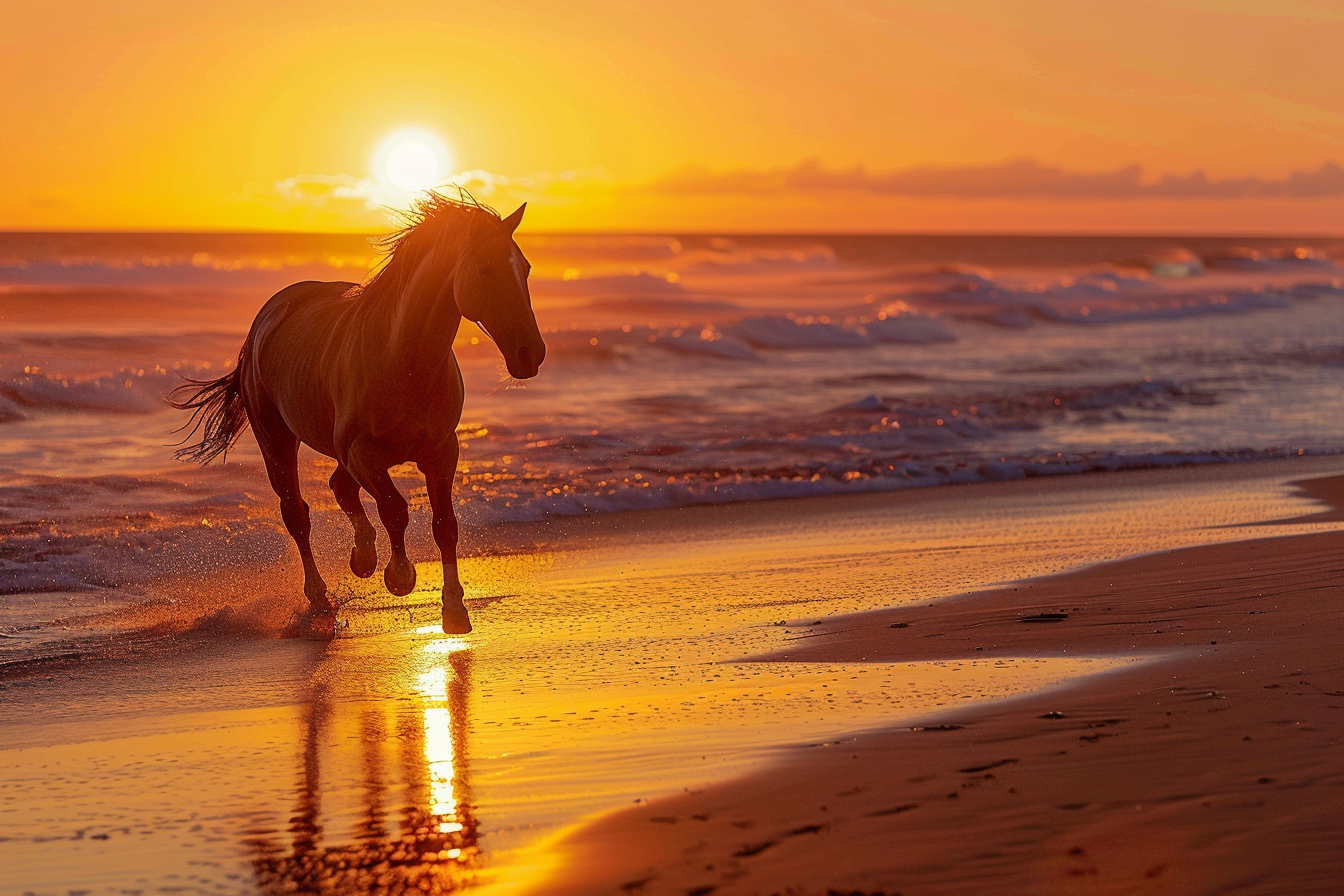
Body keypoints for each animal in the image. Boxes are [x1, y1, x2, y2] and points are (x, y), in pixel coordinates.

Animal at [169, 193, 546, 636]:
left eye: (525, 268)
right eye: (486, 269)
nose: (530, 353)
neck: (404, 360)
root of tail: (266, 317)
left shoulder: (441, 452)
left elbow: (444, 525)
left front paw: (453, 609)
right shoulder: (363, 452)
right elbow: (395, 509)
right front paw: (400, 576)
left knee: (340, 488)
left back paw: (361, 557)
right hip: (276, 437)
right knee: (297, 513)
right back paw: (320, 600)